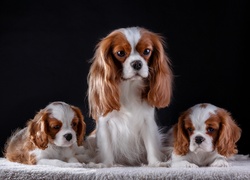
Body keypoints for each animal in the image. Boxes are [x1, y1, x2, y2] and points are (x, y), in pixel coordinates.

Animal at [87, 26, 173, 167]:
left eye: (147, 51)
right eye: (120, 53)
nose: (137, 63)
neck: (129, 86)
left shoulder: (147, 121)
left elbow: (151, 145)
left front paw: (155, 163)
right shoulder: (104, 123)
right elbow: (106, 148)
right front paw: (106, 164)